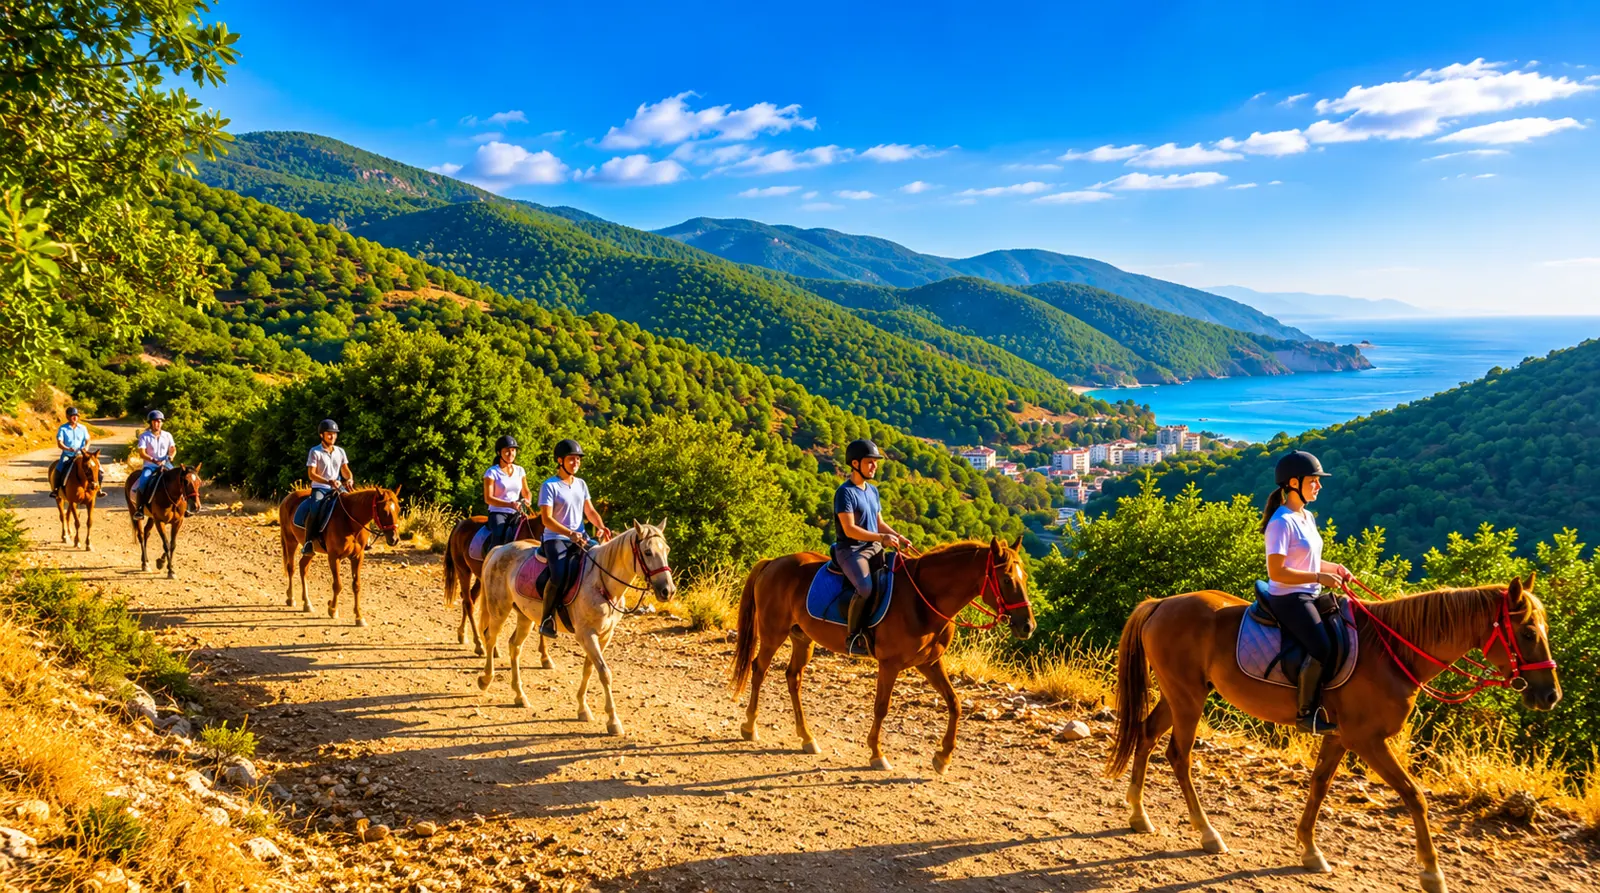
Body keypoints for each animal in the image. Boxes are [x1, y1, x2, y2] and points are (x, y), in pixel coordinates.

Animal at [277, 486, 401, 626]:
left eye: (398, 509)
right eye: (384, 511)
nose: (394, 539)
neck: (350, 522)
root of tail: (287, 498)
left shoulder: (358, 557)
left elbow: (356, 585)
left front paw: (359, 617)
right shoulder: (334, 556)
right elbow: (337, 585)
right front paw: (333, 610)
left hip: (310, 551)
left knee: (303, 567)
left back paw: (307, 603)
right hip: (290, 541)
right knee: (291, 568)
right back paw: (291, 598)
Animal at [442, 514, 542, 656]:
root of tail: (461, 523)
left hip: (480, 579)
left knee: (470, 599)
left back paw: (462, 634)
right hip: (463, 570)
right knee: (468, 603)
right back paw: (479, 644)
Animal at [476, 522, 676, 736]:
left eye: (667, 550)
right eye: (647, 552)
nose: (668, 590)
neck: (601, 582)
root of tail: (499, 549)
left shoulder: (604, 636)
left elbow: (589, 669)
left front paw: (583, 708)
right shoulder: (586, 635)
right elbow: (604, 673)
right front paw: (613, 721)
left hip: (524, 617)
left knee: (514, 646)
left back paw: (520, 696)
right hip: (499, 609)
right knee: (490, 638)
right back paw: (486, 679)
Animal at [731, 537, 1035, 774]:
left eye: (1024, 579)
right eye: (1007, 579)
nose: (1028, 626)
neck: (924, 599)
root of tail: (773, 562)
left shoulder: (929, 663)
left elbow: (955, 703)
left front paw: (943, 757)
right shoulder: (890, 664)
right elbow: (881, 707)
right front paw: (878, 754)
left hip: (802, 639)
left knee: (793, 678)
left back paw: (807, 737)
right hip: (773, 634)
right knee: (759, 669)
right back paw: (750, 726)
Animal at [1106, 575, 1560, 893]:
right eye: (1528, 633)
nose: (1550, 695)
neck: (1392, 653)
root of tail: (1161, 604)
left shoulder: (1339, 736)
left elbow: (1319, 785)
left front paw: (1309, 850)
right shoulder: (1367, 740)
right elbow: (1414, 796)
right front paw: (1432, 872)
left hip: (1179, 694)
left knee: (1146, 736)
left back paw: (1139, 814)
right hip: (1187, 698)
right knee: (1178, 755)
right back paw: (1207, 833)